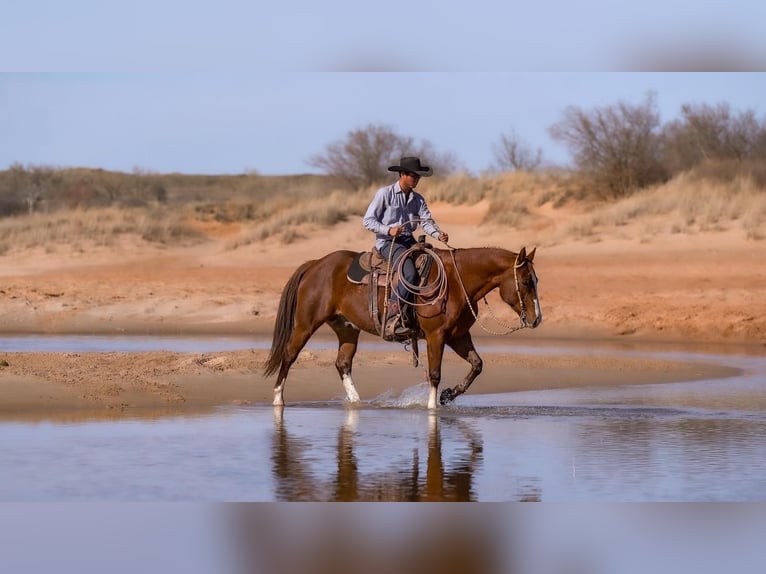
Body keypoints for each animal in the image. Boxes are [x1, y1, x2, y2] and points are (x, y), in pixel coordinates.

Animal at [268, 246, 544, 410]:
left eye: (535, 280)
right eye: (526, 282)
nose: (537, 319)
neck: (456, 282)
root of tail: (316, 264)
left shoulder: (458, 336)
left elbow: (477, 365)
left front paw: (448, 395)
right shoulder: (436, 336)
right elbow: (434, 373)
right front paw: (433, 408)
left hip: (347, 329)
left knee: (342, 363)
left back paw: (357, 402)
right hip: (306, 324)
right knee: (289, 355)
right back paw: (278, 398)